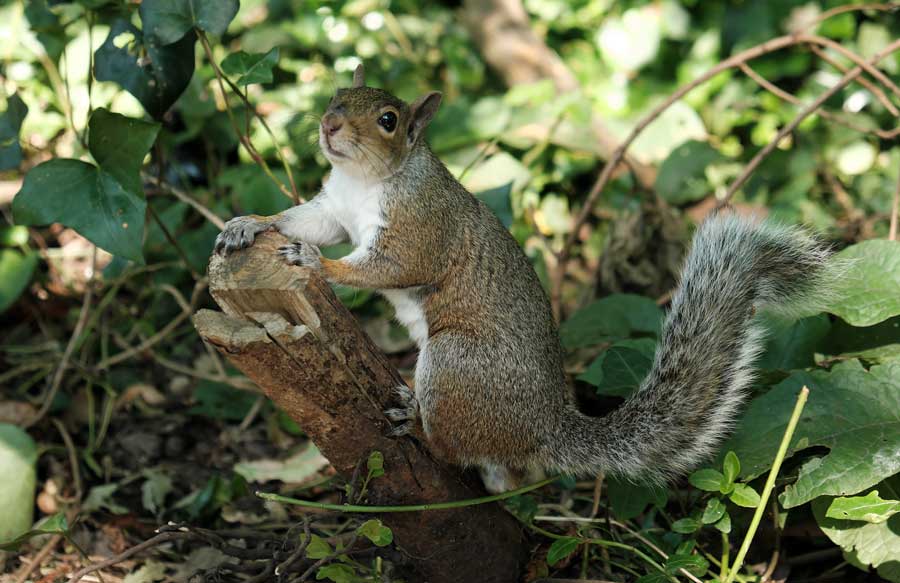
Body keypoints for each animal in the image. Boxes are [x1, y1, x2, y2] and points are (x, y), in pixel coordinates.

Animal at [214, 65, 833, 491]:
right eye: (336, 95)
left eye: (388, 121)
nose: (329, 124)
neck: (363, 179)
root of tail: (541, 429)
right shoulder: (332, 208)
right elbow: (305, 220)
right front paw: (250, 225)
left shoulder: (422, 226)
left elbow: (393, 266)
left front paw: (315, 263)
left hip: (459, 363)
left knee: (453, 449)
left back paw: (417, 423)